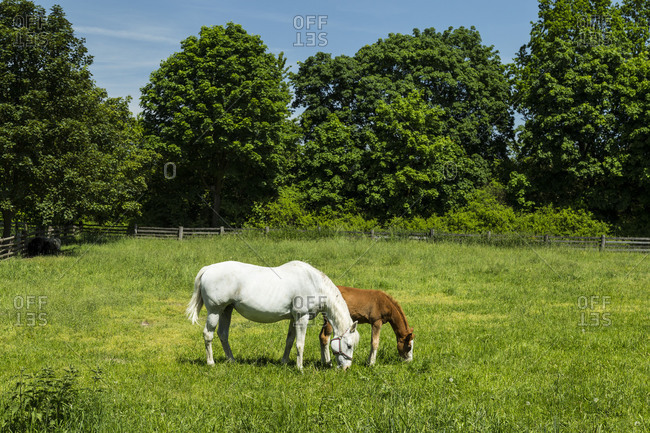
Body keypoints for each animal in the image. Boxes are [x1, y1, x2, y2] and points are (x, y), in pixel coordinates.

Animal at [186, 260, 359, 370]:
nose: (346, 368)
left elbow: (289, 341)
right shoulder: (302, 317)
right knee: (208, 334)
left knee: (223, 334)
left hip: (226, 310)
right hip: (214, 311)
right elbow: (300, 344)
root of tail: (208, 269)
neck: (314, 283)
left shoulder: (293, 318)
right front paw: (300, 368)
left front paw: (284, 362)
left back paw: (232, 360)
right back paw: (211, 363)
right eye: (349, 345)